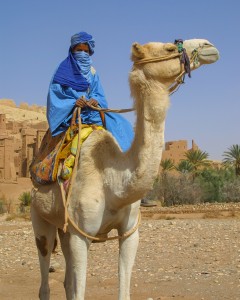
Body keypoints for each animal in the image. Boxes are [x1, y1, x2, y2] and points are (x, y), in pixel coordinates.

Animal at [30, 38, 219, 298]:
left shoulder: (129, 232)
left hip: (64, 227)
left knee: (66, 280)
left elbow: (123, 289)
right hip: (40, 220)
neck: (114, 181)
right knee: (45, 275)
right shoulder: (81, 234)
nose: (209, 45)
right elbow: (80, 291)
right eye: (170, 48)